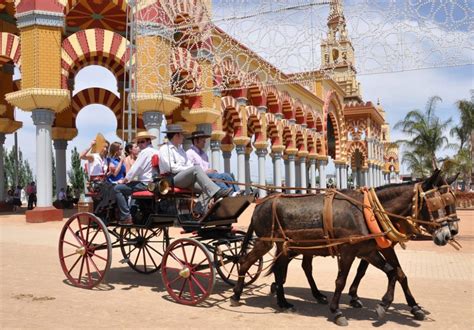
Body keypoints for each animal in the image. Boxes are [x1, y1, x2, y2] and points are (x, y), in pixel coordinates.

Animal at [230, 169, 460, 326]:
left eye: (451, 201)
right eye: (434, 204)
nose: (449, 233)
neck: (369, 211)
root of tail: (260, 203)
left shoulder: (370, 249)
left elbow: (395, 272)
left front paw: (389, 305)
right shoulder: (349, 251)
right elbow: (341, 280)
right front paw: (337, 311)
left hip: (288, 247)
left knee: (282, 269)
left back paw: (285, 301)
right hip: (266, 241)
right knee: (245, 262)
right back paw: (236, 295)